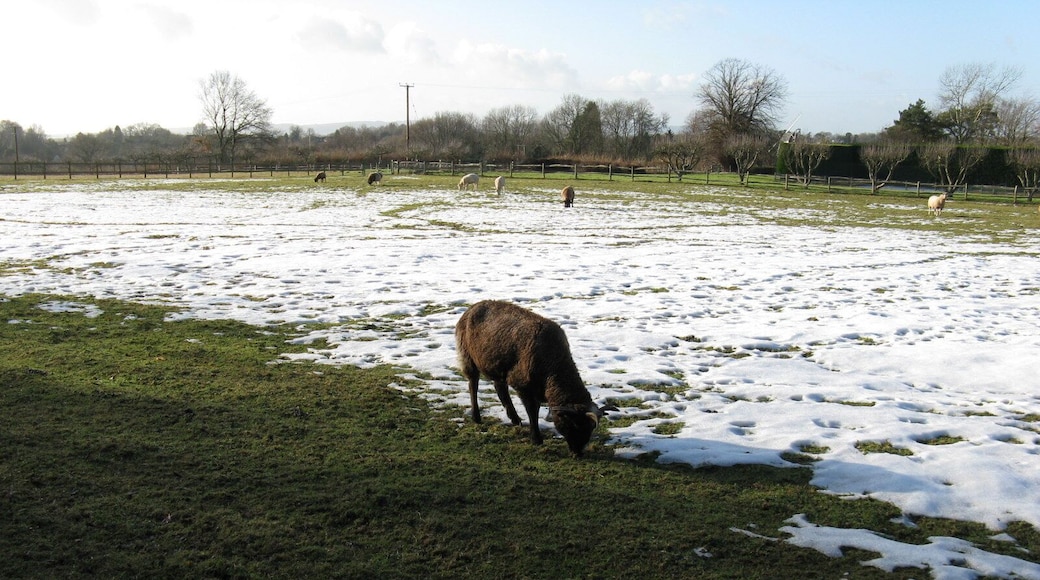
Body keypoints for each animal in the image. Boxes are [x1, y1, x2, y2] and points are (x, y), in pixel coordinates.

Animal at [455, 299, 602, 457]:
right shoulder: (522, 385)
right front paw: (536, 439)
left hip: (498, 365)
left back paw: (515, 419)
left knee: (500, 388)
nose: (578, 453)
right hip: (468, 357)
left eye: (590, 428)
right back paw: (476, 417)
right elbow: (532, 411)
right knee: (473, 385)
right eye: (573, 424)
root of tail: (471, 307)